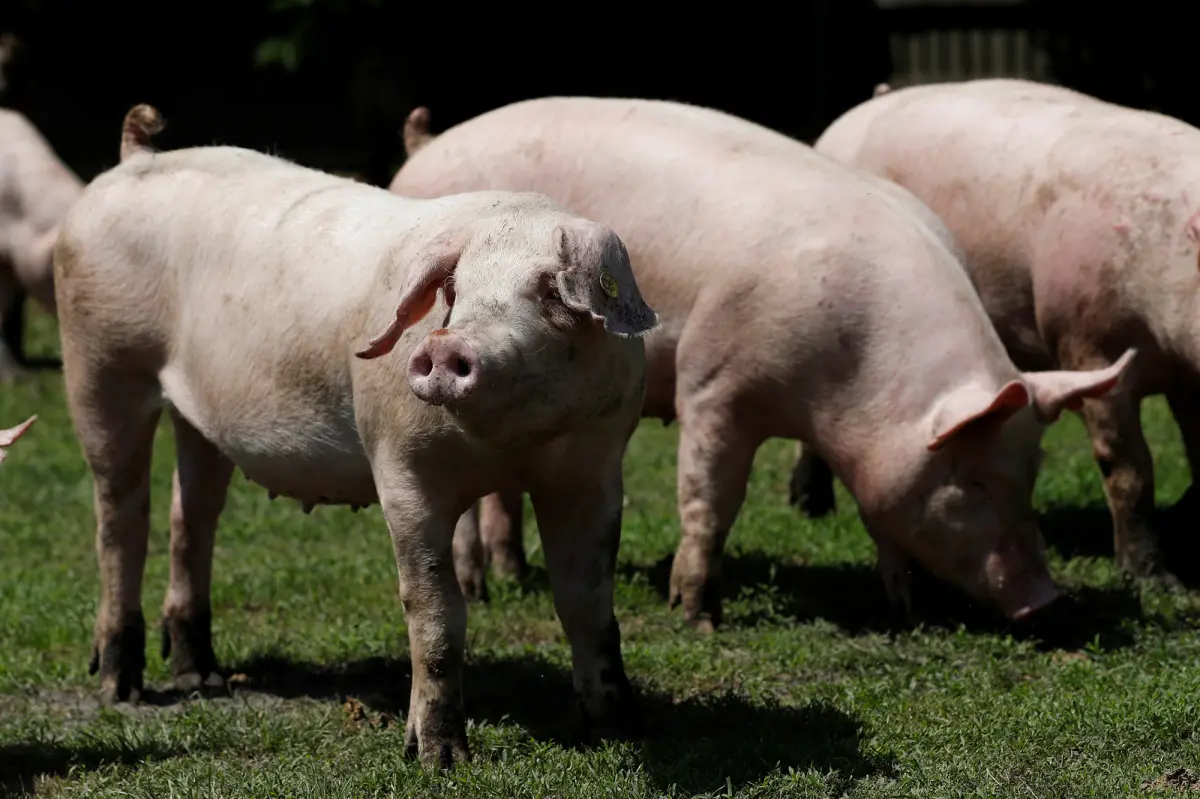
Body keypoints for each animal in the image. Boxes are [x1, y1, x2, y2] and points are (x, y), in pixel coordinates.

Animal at [55, 104, 656, 768]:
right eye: (455, 291)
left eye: (552, 291)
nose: (447, 345)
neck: (513, 449)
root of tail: (134, 156)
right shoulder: (401, 467)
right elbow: (436, 611)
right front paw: (437, 758)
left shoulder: (596, 472)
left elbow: (588, 603)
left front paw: (619, 729)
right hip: (99, 365)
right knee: (119, 518)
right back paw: (121, 687)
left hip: (197, 414)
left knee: (192, 517)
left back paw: (201, 674)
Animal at [390, 98, 1135, 630]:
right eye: (972, 480)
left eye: (1030, 475)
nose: (1045, 600)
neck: (843, 387)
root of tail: (424, 151)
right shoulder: (714, 383)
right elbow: (710, 497)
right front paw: (696, 615)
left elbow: (880, 513)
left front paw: (907, 604)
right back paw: (485, 587)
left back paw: (513, 575)